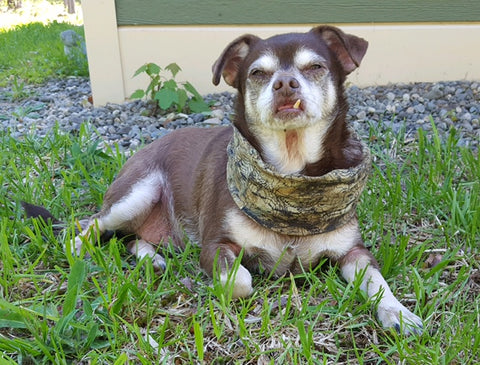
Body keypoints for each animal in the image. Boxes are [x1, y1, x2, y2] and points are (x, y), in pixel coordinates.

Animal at [55, 24, 424, 332]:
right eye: (258, 73)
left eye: (315, 67)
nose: (285, 83)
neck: (291, 177)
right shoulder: (216, 246)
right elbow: (241, 281)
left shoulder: (354, 252)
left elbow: (378, 281)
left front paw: (399, 313)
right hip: (137, 193)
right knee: (89, 225)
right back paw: (80, 253)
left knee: (132, 239)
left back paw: (154, 258)